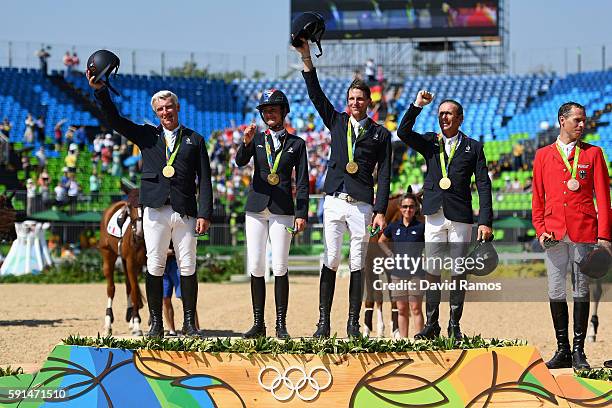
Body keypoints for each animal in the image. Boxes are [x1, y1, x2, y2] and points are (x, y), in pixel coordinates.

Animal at [100, 190, 148, 336]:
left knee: (128, 286)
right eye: (130, 207)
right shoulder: (131, 263)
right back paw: (108, 324)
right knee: (111, 289)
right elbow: (135, 292)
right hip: (108, 255)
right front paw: (137, 325)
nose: (139, 231)